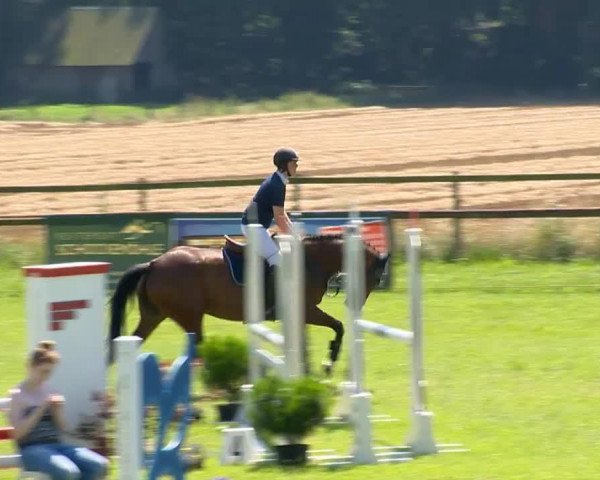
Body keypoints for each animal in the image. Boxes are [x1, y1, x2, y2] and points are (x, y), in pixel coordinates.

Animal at [109, 234, 390, 374]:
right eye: (377, 278)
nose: (355, 304)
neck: (312, 261)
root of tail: (154, 264)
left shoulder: (301, 313)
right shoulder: (307, 310)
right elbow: (338, 326)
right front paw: (329, 362)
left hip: (155, 315)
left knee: (133, 341)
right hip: (190, 317)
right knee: (197, 348)